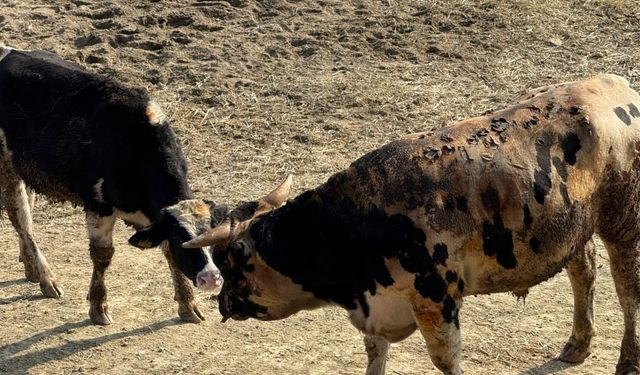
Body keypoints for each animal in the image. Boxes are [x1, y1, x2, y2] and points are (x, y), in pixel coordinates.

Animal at [0, 46, 222, 326]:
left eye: (213, 237)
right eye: (181, 239)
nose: (211, 278)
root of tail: (9, 51)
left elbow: (166, 254)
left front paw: (187, 304)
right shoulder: (98, 206)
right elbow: (102, 256)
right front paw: (98, 307)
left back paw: (30, 269)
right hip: (6, 168)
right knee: (22, 221)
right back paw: (46, 278)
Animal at [181, 75, 640, 374]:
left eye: (229, 265)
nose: (221, 303)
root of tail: (614, 83)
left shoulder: (436, 300)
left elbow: (445, 359)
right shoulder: (376, 306)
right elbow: (376, 352)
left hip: (623, 222)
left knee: (627, 292)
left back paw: (626, 361)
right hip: (572, 226)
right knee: (584, 271)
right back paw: (577, 345)